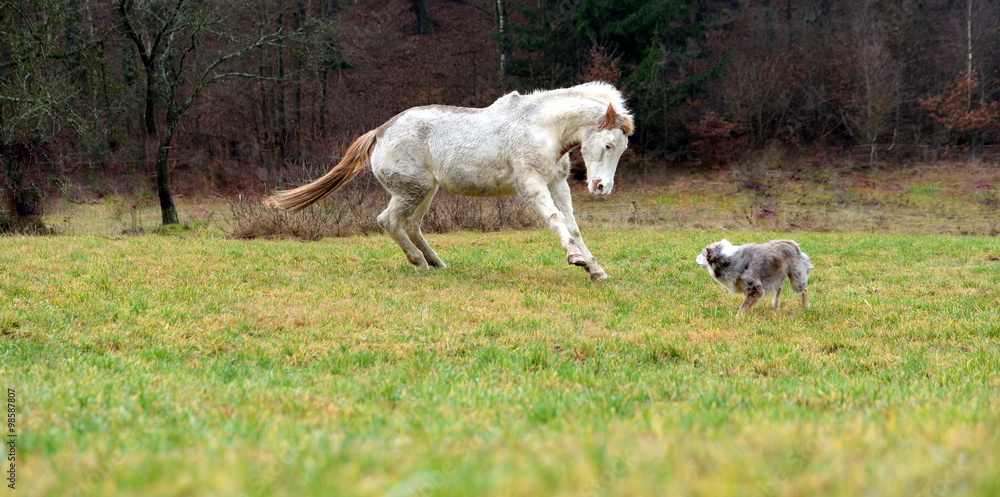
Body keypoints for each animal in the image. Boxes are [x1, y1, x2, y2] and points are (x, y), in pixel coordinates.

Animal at [263, 81, 634, 280]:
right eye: (608, 144)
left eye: (621, 147)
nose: (602, 188)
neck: (542, 127)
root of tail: (381, 131)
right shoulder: (530, 184)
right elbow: (556, 220)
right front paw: (575, 259)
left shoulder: (557, 183)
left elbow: (572, 226)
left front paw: (595, 269)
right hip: (411, 190)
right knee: (388, 221)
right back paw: (419, 262)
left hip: (425, 190)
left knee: (410, 225)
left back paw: (436, 262)